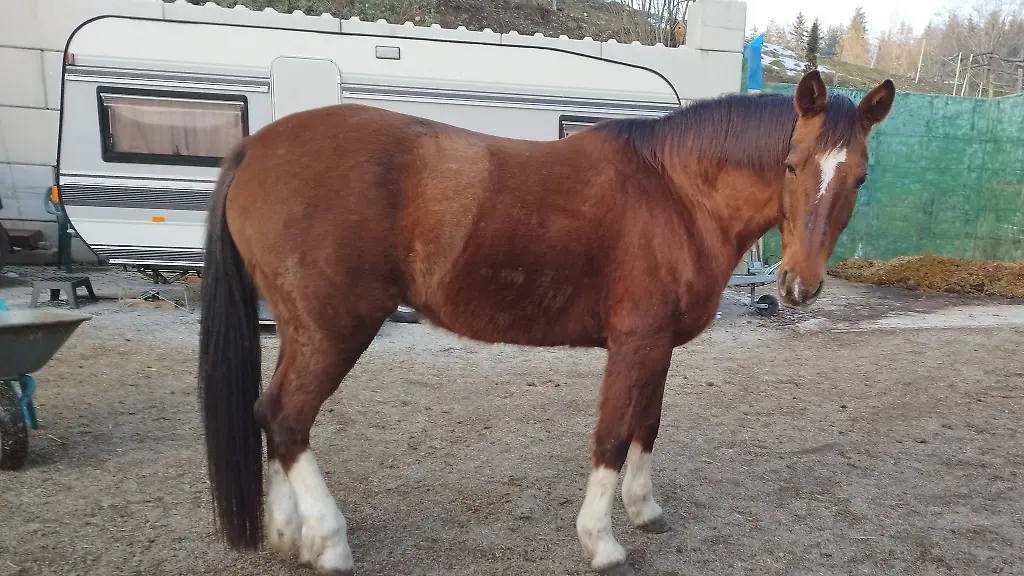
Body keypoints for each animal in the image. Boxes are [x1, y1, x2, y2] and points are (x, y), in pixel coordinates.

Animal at [196, 70, 895, 576]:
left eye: (860, 177)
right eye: (791, 164)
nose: (799, 285)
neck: (675, 193)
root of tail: (254, 148)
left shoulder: (659, 345)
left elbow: (647, 426)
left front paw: (645, 510)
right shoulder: (634, 343)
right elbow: (612, 436)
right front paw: (602, 542)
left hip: (303, 331)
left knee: (270, 414)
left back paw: (288, 535)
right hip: (336, 329)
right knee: (287, 417)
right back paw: (331, 543)